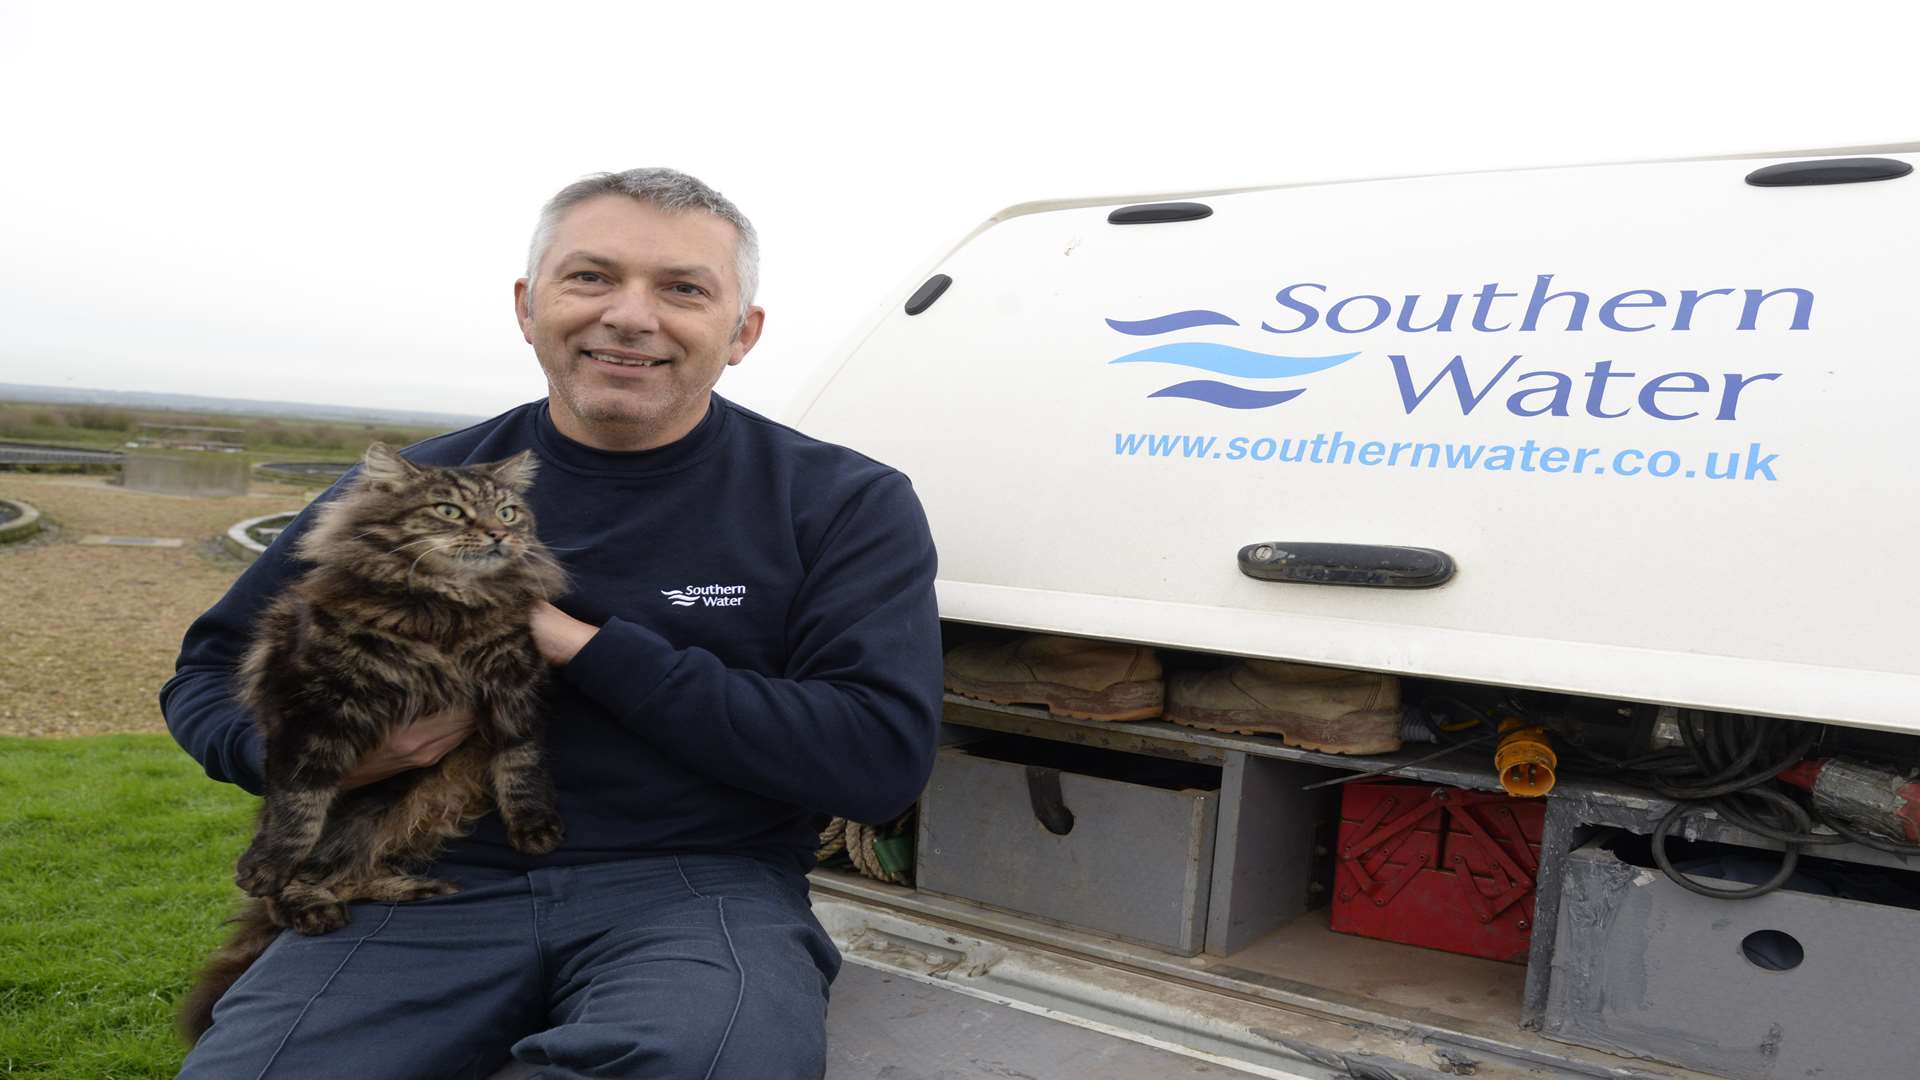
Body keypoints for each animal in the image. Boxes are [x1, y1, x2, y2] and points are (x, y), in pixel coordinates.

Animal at [179, 441, 568, 1037]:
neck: (447, 608)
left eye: (508, 512)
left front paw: (533, 827)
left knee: (349, 870)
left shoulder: (514, 681)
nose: (500, 535)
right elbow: (298, 807)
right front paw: (267, 865)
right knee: (305, 875)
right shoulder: (316, 708)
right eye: (449, 511)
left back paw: (411, 887)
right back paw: (307, 905)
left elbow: (520, 765)